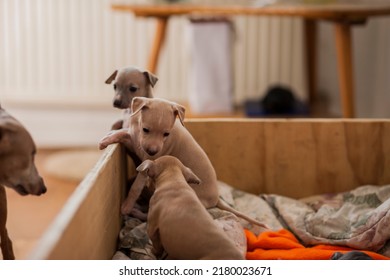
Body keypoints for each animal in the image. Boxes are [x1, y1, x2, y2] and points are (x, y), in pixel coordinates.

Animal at [99, 97, 270, 230]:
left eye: (166, 134)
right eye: (146, 129)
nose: (153, 152)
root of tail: (216, 199)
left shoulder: (146, 163)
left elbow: (136, 187)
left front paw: (126, 206)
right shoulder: (137, 143)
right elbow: (125, 133)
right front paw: (107, 138)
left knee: (148, 214)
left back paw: (134, 211)